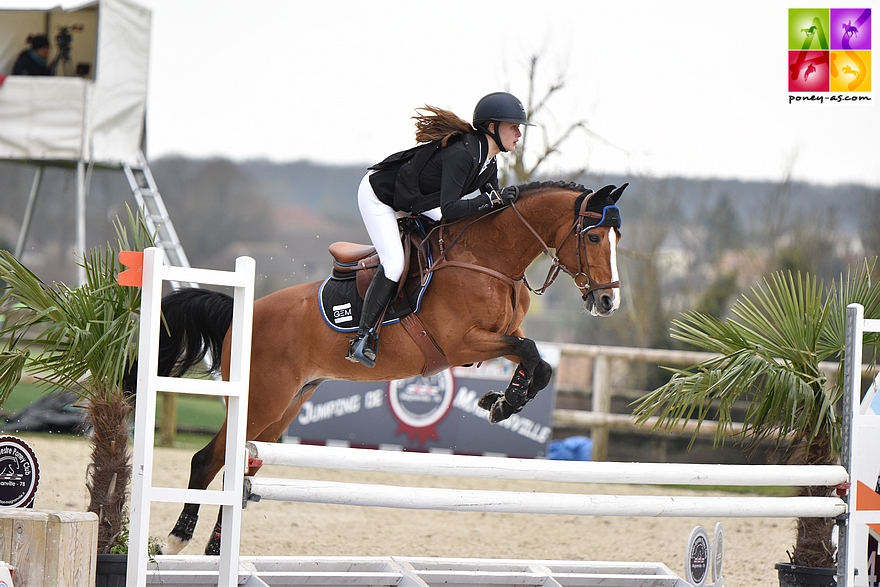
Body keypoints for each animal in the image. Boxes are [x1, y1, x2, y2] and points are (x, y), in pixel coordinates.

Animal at [156, 180, 624, 556]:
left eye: (616, 236)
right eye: (594, 236)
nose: (608, 302)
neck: (488, 258)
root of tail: (241, 312)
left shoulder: (498, 336)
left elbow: (538, 362)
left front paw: (500, 401)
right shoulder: (461, 343)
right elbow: (529, 351)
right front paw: (504, 402)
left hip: (284, 407)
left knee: (242, 465)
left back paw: (215, 548)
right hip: (262, 401)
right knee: (208, 459)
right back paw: (178, 539)